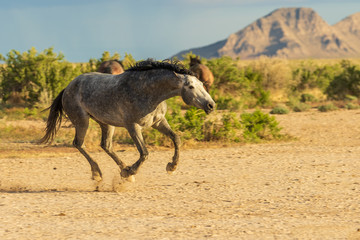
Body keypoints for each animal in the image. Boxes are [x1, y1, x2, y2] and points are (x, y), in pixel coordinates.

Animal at [41, 60, 217, 182]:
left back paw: (123, 169)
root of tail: (67, 88)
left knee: (106, 145)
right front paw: (131, 171)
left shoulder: (158, 122)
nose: (211, 105)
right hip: (82, 121)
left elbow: (176, 139)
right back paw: (98, 173)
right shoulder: (132, 126)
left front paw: (171, 167)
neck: (147, 91)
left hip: (106, 123)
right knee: (79, 144)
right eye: (190, 87)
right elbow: (144, 153)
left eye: (202, 84)